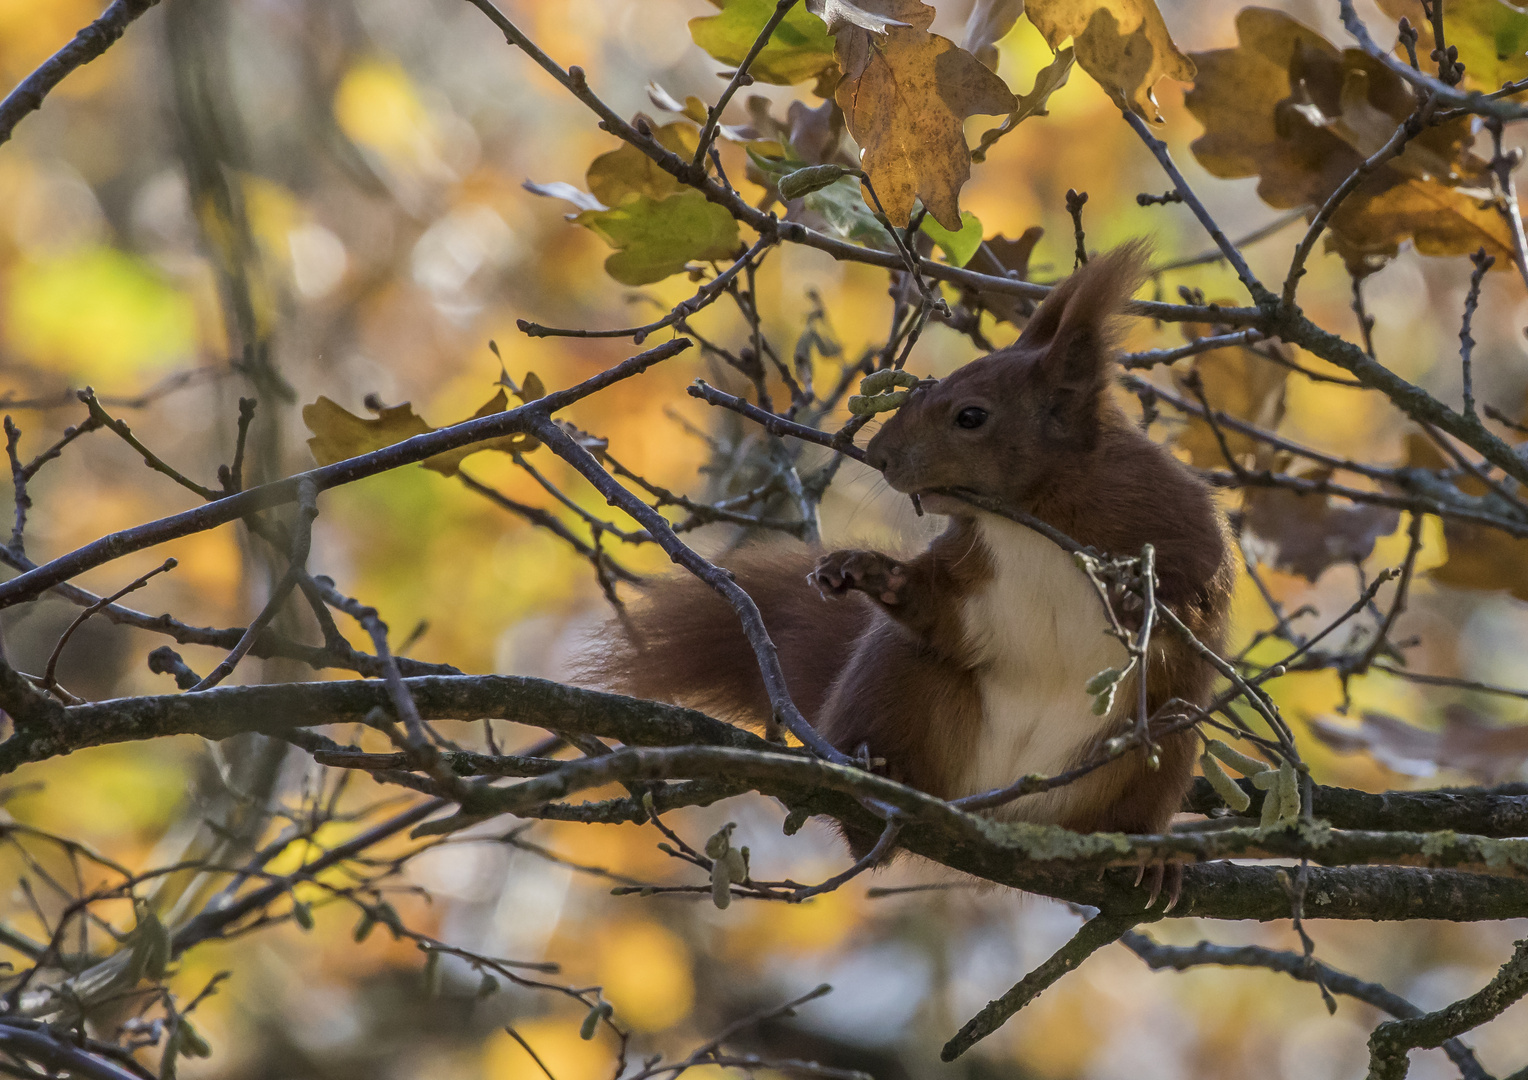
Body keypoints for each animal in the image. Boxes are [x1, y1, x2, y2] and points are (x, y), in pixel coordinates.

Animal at [589, 248, 1234, 843]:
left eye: (970, 417)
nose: (880, 457)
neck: (1027, 517)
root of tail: (999, 804)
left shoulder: (1173, 512)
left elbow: (1201, 586)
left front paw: (1143, 599)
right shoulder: (974, 567)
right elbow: (941, 608)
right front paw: (870, 572)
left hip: (1163, 743)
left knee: (1154, 761)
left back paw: (1147, 857)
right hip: (896, 678)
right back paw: (880, 783)